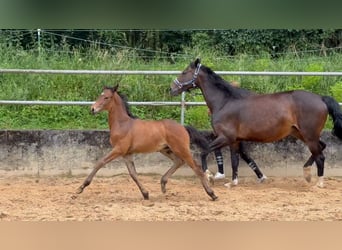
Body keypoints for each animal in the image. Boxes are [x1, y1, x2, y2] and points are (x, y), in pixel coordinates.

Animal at [73, 85, 218, 201]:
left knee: (196, 167)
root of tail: (183, 127)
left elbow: (100, 163)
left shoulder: (118, 150)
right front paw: (145, 194)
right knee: (179, 162)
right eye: (100, 95)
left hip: (181, 149)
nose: (92, 109)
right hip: (166, 149)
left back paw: (212, 194)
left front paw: (80, 188)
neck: (122, 124)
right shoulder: (127, 154)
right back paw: (163, 184)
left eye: (106, 97)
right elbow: (133, 174)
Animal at [170, 58, 342, 188]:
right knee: (321, 147)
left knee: (320, 156)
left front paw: (208, 175)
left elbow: (204, 151)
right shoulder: (234, 140)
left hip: (309, 135)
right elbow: (235, 161)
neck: (225, 102)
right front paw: (232, 183)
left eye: (184, 72)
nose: (171, 88)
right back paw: (306, 173)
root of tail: (321, 98)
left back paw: (319, 183)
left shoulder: (225, 137)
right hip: (301, 133)